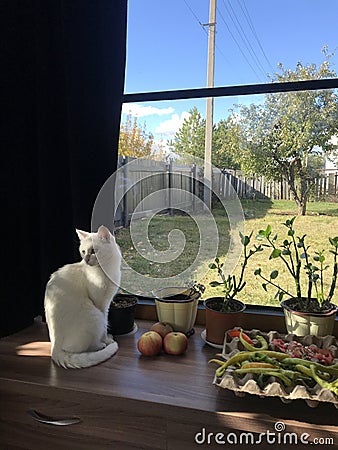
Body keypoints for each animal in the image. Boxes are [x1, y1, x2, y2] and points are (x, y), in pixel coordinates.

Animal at [44, 225, 121, 370]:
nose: (85, 260)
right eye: (83, 251)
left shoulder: (107, 302)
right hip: (95, 316)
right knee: (85, 347)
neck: (105, 270)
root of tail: (54, 348)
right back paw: (102, 345)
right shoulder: (101, 304)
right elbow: (105, 326)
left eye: (93, 251)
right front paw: (107, 339)